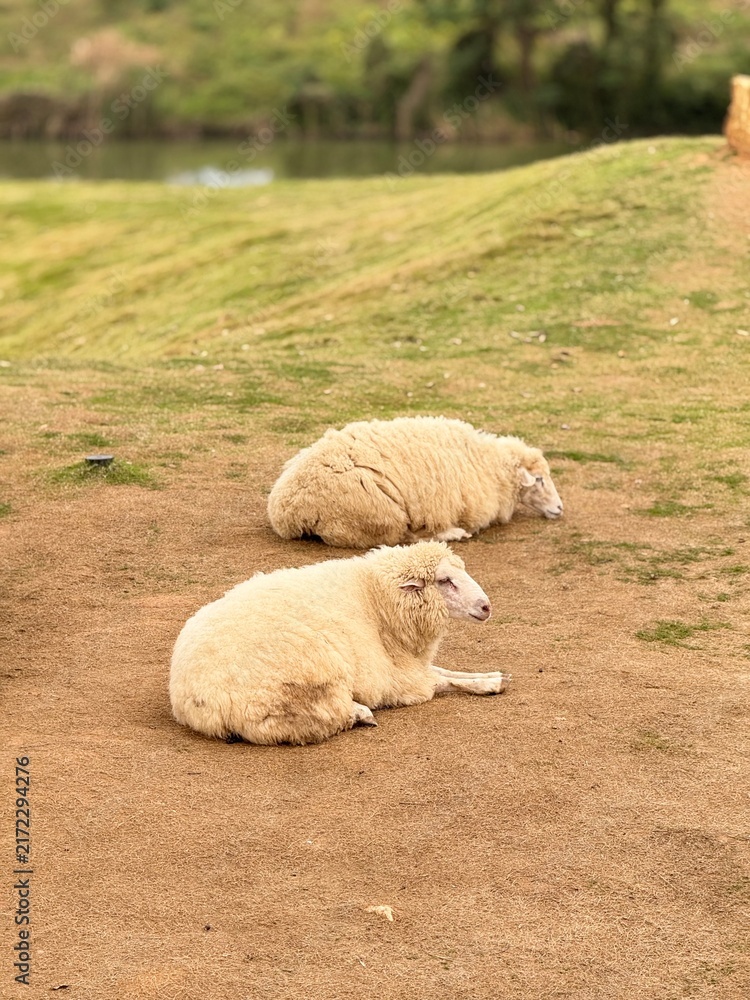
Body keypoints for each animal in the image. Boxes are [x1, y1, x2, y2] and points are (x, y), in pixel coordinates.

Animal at [169, 541, 510, 746]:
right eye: (445, 581)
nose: (486, 607)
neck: (375, 598)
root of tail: (193, 700)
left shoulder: (405, 665)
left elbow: (444, 671)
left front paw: (494, 676)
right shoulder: (395, 678)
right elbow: (441, 681)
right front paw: (489, 683)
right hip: (305, 684)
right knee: (324, 717)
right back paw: (360, 713)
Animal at [267, 415, 563, 549]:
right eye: (539, 480)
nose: (560, 509)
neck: (490, 463)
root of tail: (289, 510)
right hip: (378, 516)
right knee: (402, 537)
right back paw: (454, 533)